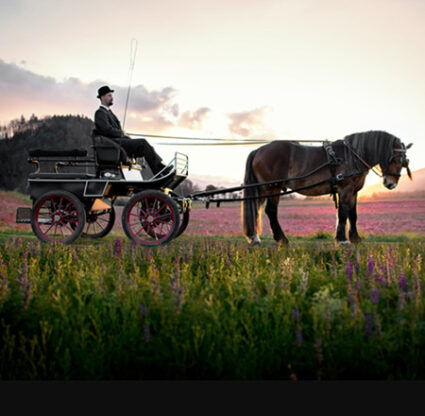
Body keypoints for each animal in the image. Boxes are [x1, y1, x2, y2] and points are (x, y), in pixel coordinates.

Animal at [242, 131, 410, 244]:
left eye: (404, 161)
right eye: (395, 158)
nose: (391, 183)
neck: (352, 156)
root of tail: (259, 150)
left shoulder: (354, 191)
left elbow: (353, 214)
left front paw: (355, 238)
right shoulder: (345, 189)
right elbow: (343, 212)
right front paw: (342, 239)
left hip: (263, 189)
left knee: (255, 208)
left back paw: (255, 237)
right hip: (273, 188)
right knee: (271, 211)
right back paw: (282, 239)